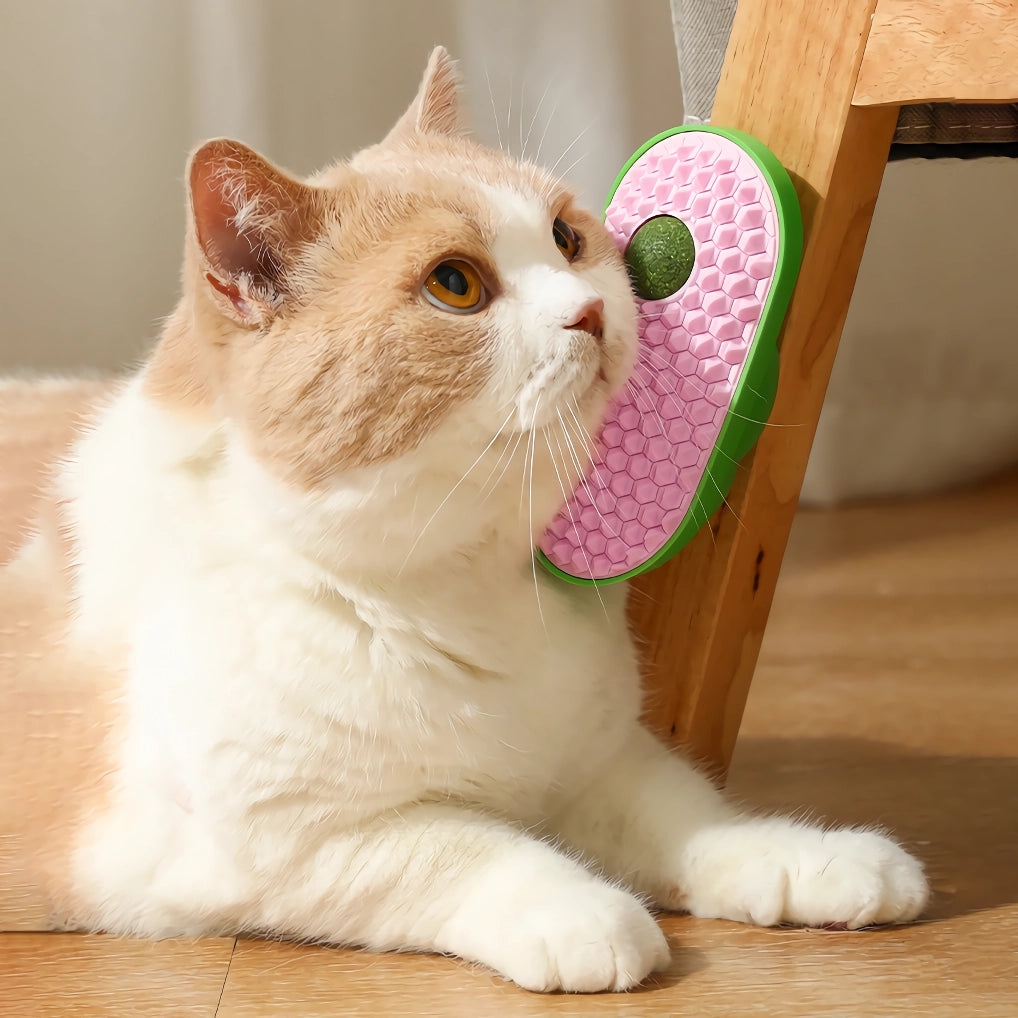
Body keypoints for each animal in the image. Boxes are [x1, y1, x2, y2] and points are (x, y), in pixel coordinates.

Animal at [0, 47, 932, 993]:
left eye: (565, 238)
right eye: (455, 284)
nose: (592, 310)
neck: (465, 587)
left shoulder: (599, 761)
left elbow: (692, 816)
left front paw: (807, 858)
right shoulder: (266, 851)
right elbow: (463, 847)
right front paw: (583, 913)